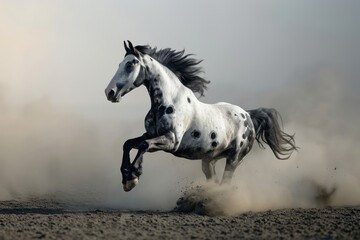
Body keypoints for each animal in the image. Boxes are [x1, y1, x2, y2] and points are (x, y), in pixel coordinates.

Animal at [105, 40, 298, 192]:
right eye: (119, 64)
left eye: (129, 64)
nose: (109, 92)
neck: (168, 101)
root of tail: (248, 115)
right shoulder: (151, 134)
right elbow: (128, 144)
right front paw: (127, 177)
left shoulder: (171, 141)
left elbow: (143, 145)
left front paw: (133, 177)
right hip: (209, 160)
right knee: (214, 180)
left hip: (234, 159)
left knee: (226, 182)